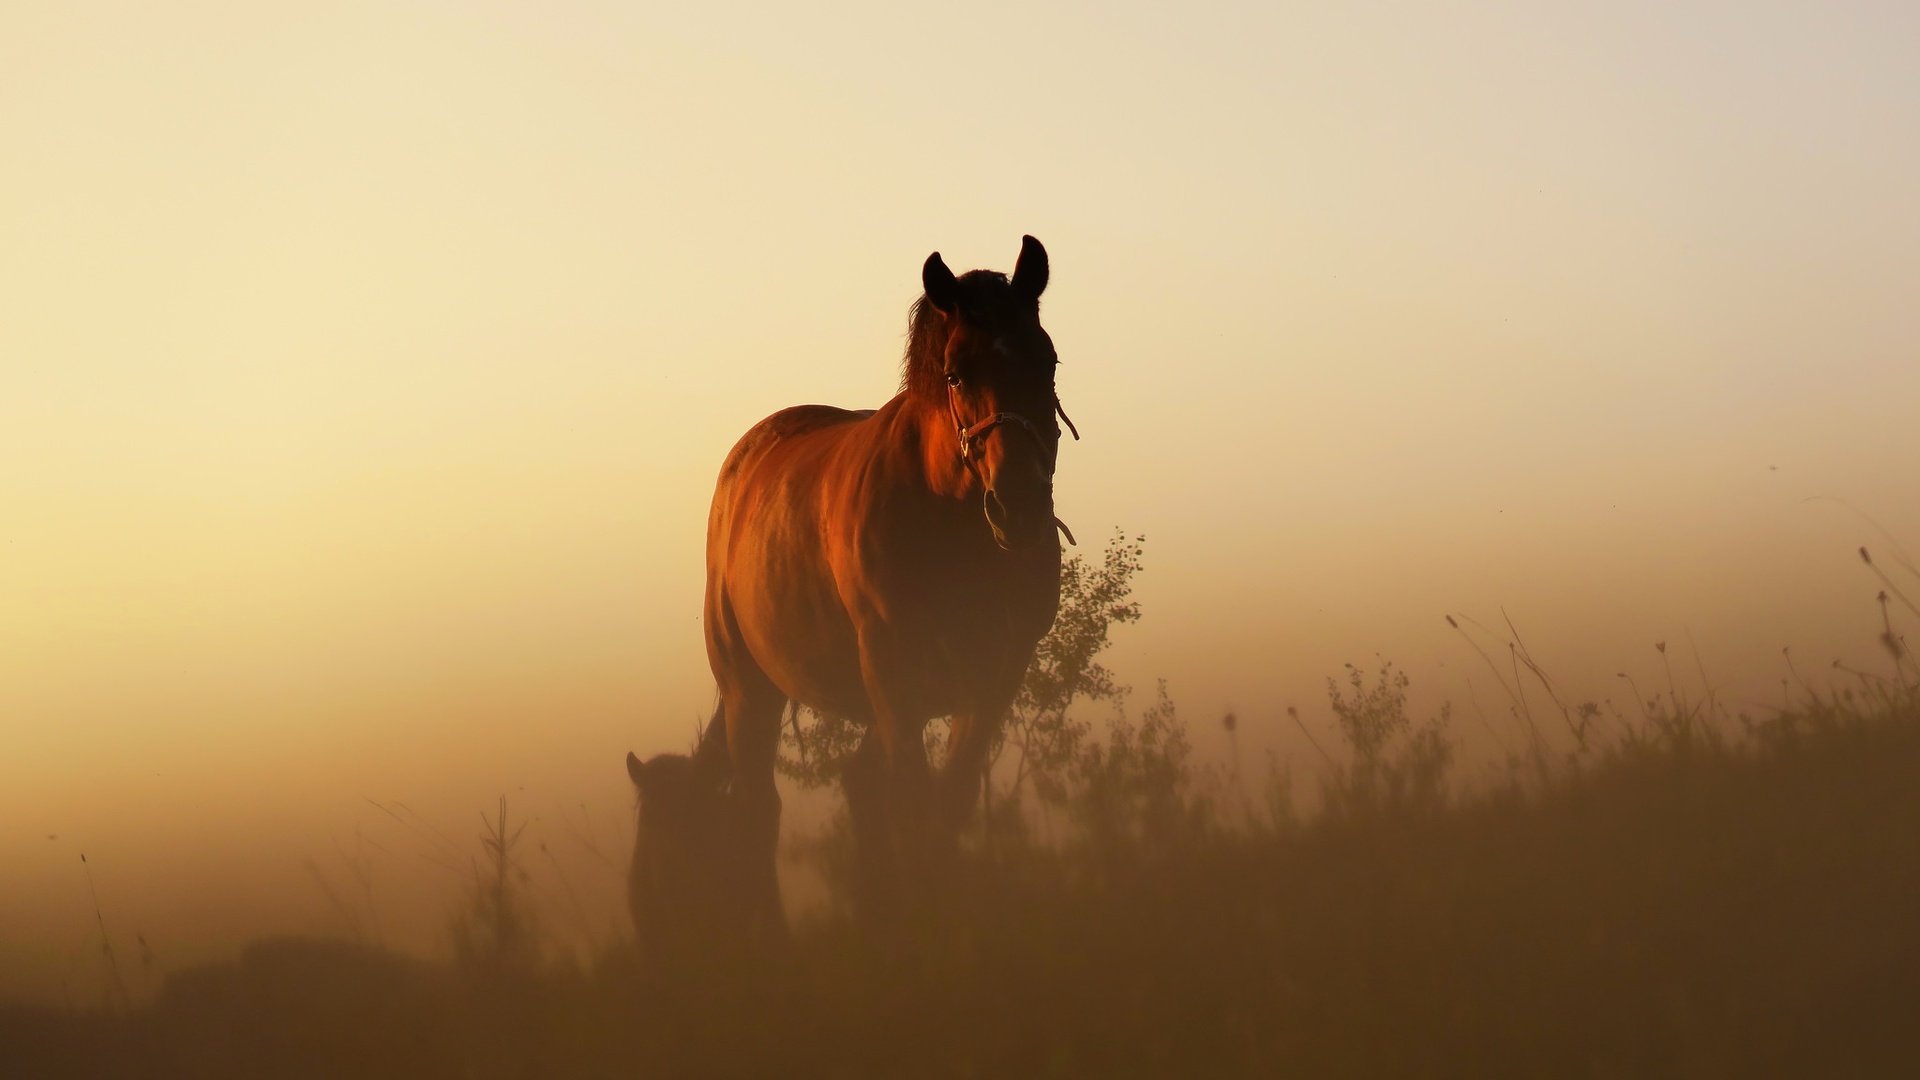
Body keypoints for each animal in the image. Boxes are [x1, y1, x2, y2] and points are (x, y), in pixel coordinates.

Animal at [637, 235, 1075, 926]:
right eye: (956, 373)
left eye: (1048, 362)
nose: (1020, 507)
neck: (948, 522)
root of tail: (745, 463)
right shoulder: (892, 671)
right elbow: (913, 805)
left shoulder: (995, 676)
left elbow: (945, 805)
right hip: (749, 690)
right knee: (760, 812)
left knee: (854, 790)